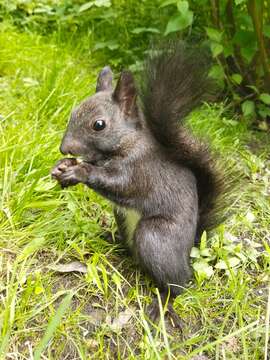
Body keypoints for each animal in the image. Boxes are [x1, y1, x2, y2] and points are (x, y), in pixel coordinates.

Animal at [51, 40, 226, 324]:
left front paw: (79, 172)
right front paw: (61, 167)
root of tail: (189, 249)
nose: (65, 148)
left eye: (99, 125)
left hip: (154, 236)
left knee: (179, 283)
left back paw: (164, 302)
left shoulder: (140, 171)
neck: (126, 143)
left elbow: (117, 183)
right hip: (122, 219)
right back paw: (112, 239)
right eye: (73, 111)